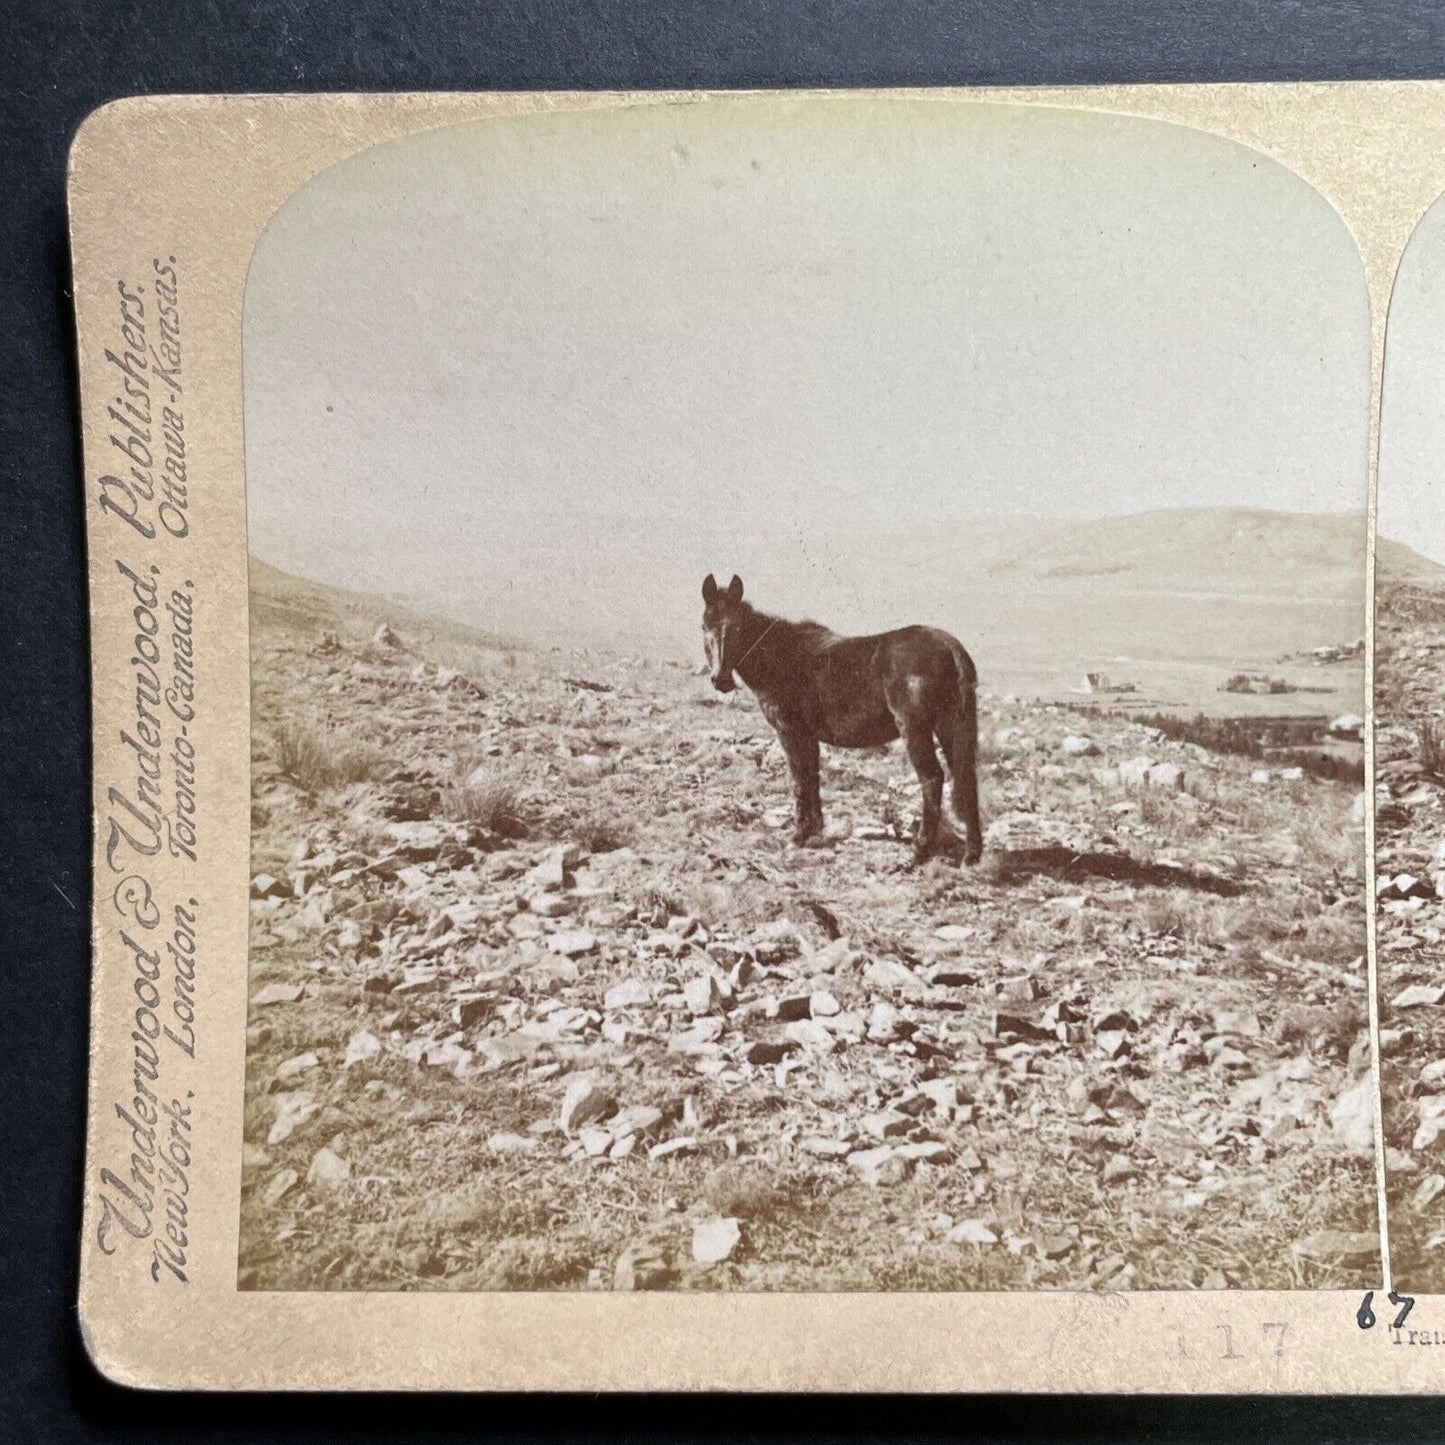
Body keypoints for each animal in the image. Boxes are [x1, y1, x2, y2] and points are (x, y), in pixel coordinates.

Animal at [699, 572, 982, 867]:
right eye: (704, 626)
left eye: (737, 629)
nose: (720, 680)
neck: (784, 657)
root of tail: (950, 647)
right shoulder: (808, 737)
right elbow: (812, 777)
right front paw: (814, 830)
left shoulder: (790, 733)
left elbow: (799, 781)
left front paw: (798, 835)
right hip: (949, 727)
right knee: (966, 778)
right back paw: (971, 855)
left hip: (915, 730)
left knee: (932, 779)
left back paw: (919, 851)